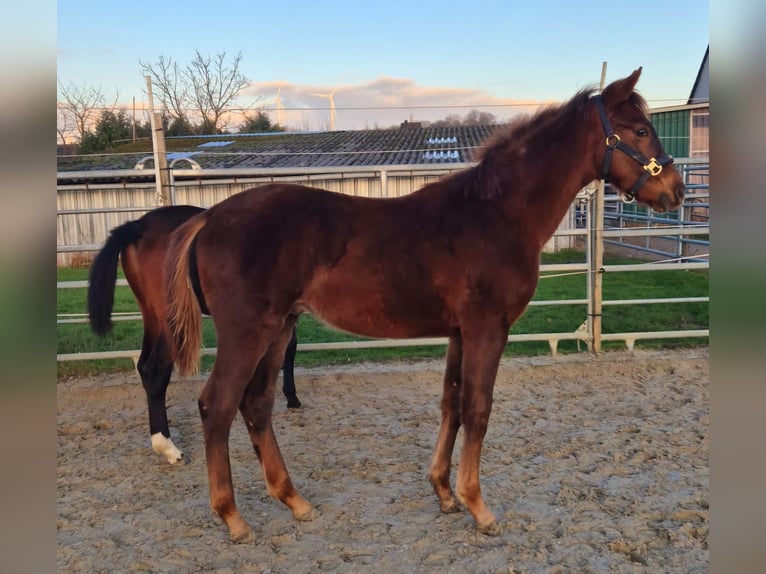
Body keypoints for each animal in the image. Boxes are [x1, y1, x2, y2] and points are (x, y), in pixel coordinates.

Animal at [87, 207, 304, 468]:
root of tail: (141, 225)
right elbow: (289, 347)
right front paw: (291, 397)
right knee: (154, 371)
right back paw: (169, 448)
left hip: (151, 315)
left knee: (143, 366)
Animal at [165, 70, 688, 544]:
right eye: (640, 130)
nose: (676, 191)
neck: (496, 214)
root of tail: (209, 218)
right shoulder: (487, 329)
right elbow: (478, 408)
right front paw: (478, 506)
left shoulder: (460, 333)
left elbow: (451, 404)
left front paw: (444, 493)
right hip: (248, 332)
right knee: (217, 406)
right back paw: (233, 518)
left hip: (280, 328)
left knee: (256, 405)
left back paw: (294, 501)